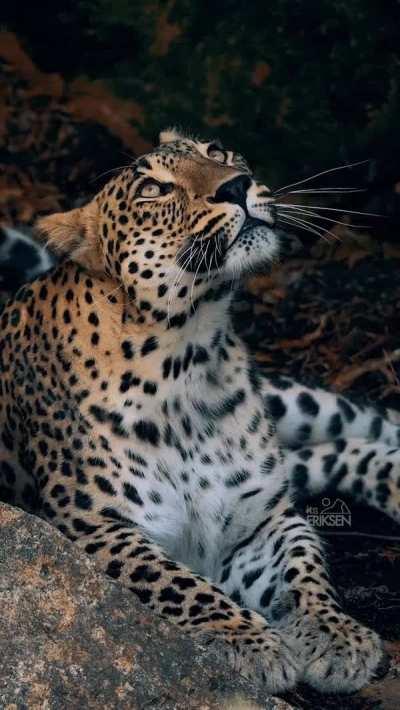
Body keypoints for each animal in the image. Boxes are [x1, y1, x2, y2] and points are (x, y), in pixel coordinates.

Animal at [1, 127, 399, 695]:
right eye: (152, 190)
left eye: (216, 153)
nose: (236, 185)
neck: (188, 361)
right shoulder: (98, 529)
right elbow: (176, 581)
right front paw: (248, 642)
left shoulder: (262, 518)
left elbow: (304, 567)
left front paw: (335, 634)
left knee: (355, 429)